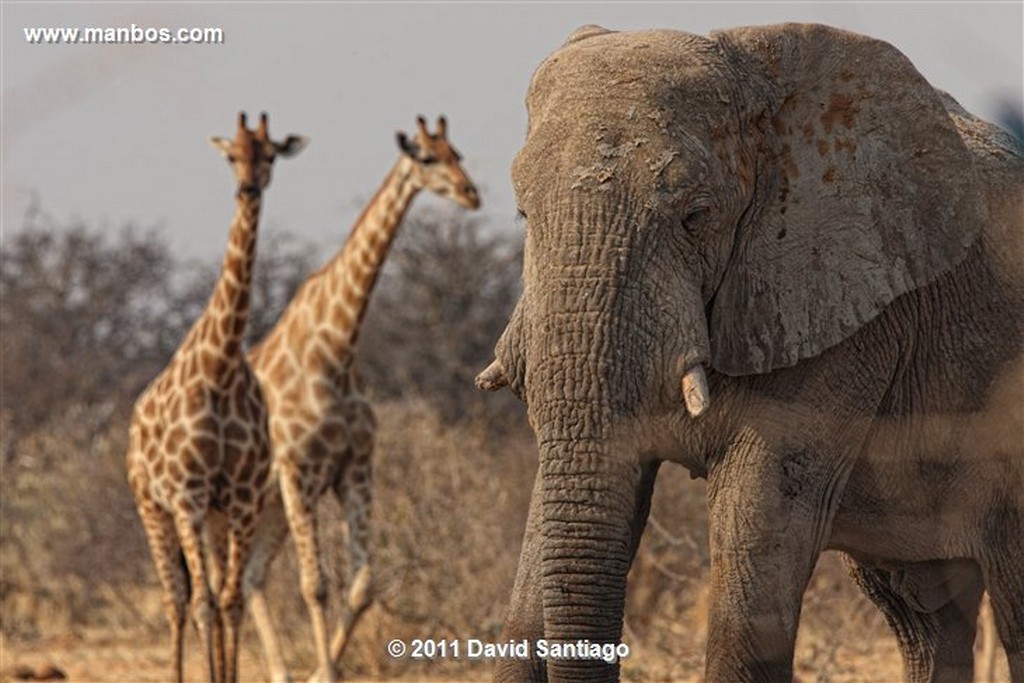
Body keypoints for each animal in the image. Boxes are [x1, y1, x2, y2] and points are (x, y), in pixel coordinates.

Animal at [126, 112, 305, 683]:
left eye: (269, 154)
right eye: (231, 156)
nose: (247, 189)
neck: (222, 366)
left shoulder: (241, 499)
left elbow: (230, 600)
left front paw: (227, 675)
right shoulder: (186, 496)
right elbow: (204, 601)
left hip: (215, 516)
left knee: (212, 594)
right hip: (154, 507)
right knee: (176, 599)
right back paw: (177, 672)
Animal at [242, 114, 479, 679]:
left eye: (457, 153)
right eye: (427, 157)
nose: (471, 193)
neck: (336, 350)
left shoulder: (354, 467)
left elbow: (362, 585)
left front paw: (319, 669)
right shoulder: (299, 473)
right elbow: (315, 585)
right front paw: (325, 671)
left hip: (269, 508)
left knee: (251, 578)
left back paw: (282, 672)